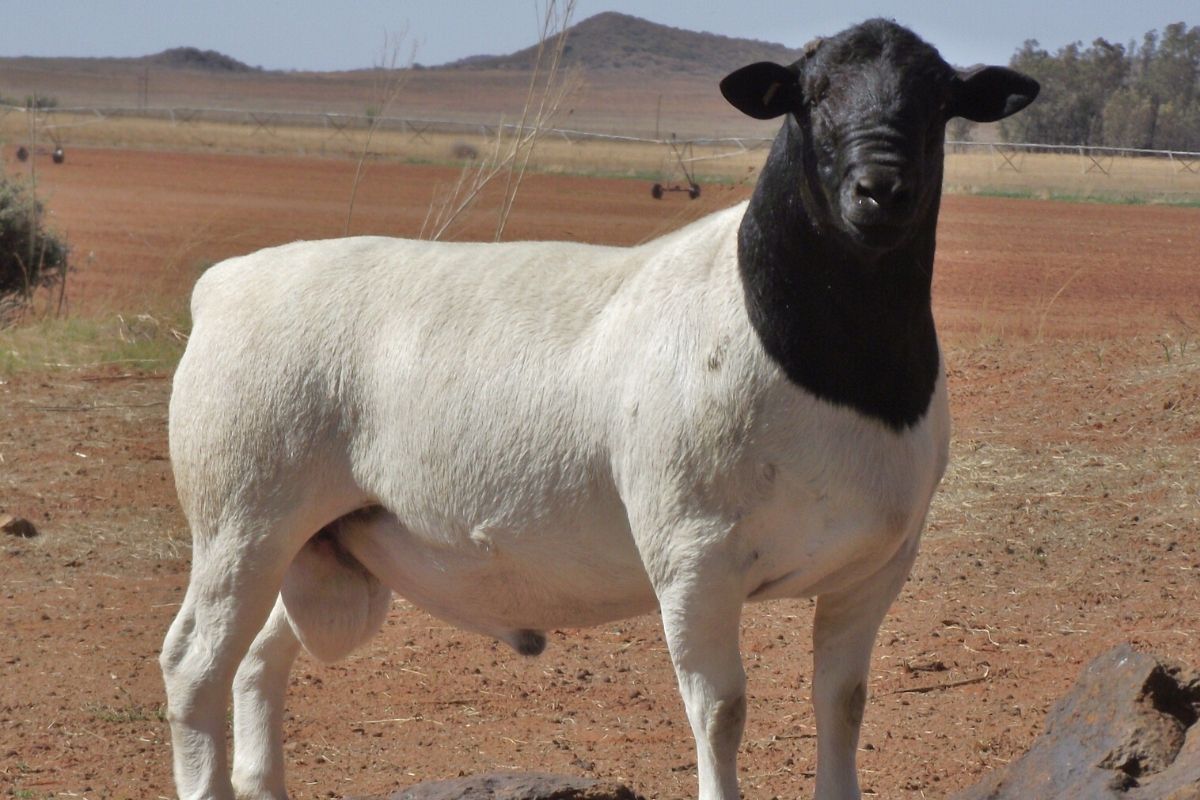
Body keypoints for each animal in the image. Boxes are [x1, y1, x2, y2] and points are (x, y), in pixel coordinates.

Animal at [160, 19, 1038, 800]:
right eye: (812, 94)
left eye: (939, 101)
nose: (880, 191)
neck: (826, 360)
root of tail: (224, 284)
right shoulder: (694, 559)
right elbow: (721, 713)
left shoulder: (875, 568)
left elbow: (843, 705)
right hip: (242, 517)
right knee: (194, 664)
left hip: (319, 542)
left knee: (259, 658)